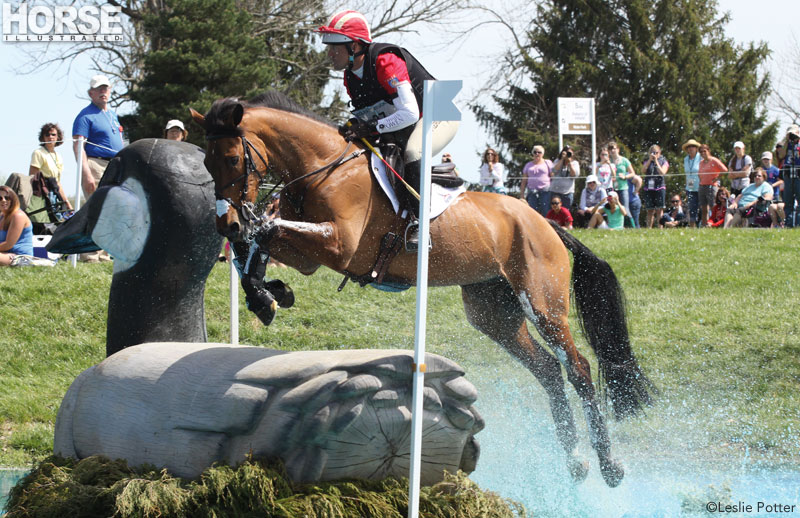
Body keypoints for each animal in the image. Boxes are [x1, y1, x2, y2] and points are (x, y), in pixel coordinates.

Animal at [191, 92, 652, 488]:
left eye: (232, 158)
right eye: (207, 163)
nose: (225, 224)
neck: (325, 167)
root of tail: (547, 223)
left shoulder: (339, 246)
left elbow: (266, 229)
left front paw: (267, 289)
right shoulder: (308, 254)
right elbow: (260, 240)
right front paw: (267, 295)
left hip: (542, 304)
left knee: (578, 368)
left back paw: (610, 466)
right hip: (494, 313)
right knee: (548, 371)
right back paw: (575, 462)